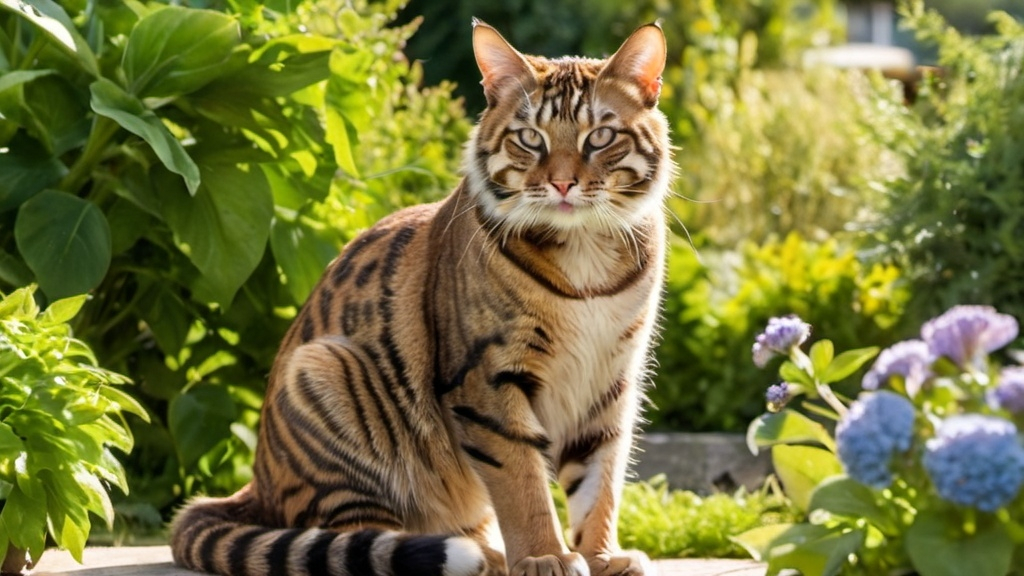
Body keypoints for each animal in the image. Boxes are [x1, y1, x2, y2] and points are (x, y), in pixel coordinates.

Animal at [169, 17, 671, 573]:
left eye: (600, 136)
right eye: (530, 138)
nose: (563, 184)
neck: (586, 253)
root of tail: (253, 486)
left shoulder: (610, 377)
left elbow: (599, 479)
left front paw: (600, 556)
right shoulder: (486, 377)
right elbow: (523, 483)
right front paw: (545, 557)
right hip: (324, 372)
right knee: (353, 535)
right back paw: (477, 555)